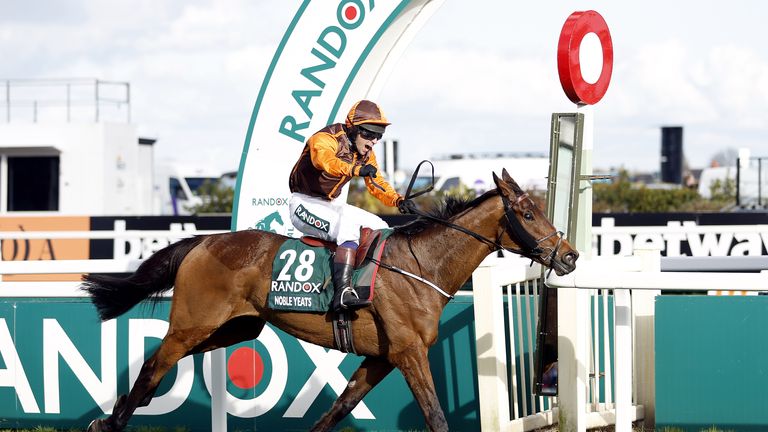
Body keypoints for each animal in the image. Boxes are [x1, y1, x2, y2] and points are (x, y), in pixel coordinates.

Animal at [82, 170, 576, 432]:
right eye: (528, 213)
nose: (569, 255)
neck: (421, 267)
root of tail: (203, 240)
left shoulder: (380, 358)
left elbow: (338, 409)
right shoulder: (409, 352)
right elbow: (436, 418)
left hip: (234, 327)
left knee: (160, 365)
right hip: (192, 323)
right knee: (153, 363)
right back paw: (110, 421)